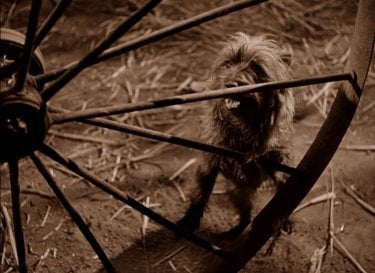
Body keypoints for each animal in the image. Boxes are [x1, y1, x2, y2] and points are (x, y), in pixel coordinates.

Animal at [178, 32, 296, 236]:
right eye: (227, 64)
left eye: (256, 67)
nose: (231, 84)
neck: (244, 124)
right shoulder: (212, 156)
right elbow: (202, 189)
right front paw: (190, 219)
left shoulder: (278, 153)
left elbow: (280, 172)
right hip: (238, 193)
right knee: (245, 214)